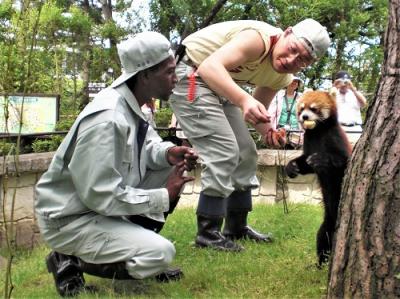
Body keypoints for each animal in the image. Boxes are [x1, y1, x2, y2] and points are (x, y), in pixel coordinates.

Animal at [286, 88, 352, 266]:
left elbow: (342, 161)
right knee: (323, 235)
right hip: (327, 219)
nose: (304, 117)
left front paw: (320, 160)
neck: (318, 132)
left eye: (313, 109)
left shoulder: (335, 137)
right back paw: (320, 263)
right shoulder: (308, 141)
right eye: (301, 109)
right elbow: (304, 163)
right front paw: (291, 166)